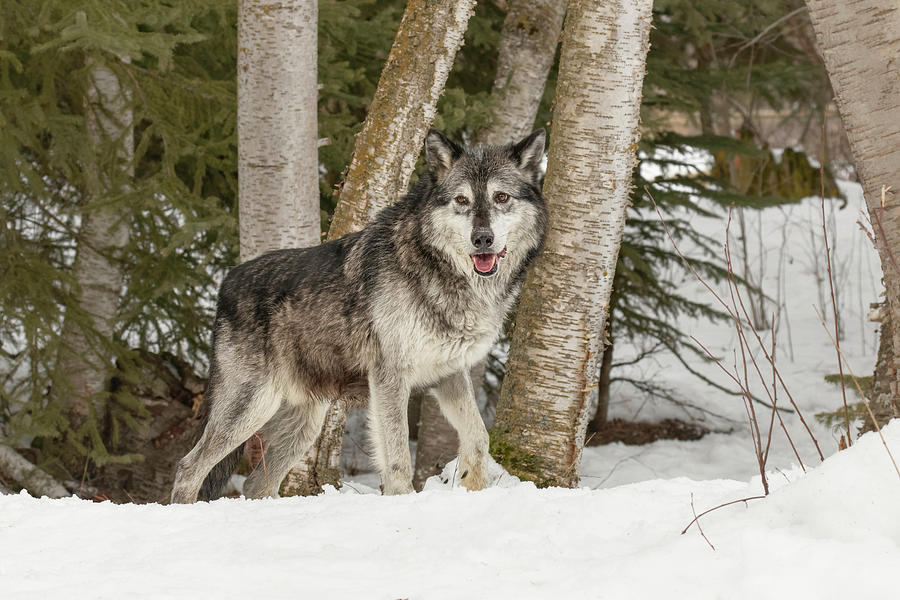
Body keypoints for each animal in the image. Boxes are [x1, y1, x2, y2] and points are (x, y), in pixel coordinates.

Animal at [170, 127, 548, 502]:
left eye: (501, 197)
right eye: (461, 201)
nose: (482, 238)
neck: (437, 268)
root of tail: (226, 281)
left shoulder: (450, 372)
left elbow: (478, 437)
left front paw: (474, 485)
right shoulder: (389, 377)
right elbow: (397, 459)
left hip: (304, 424)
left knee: (254, 484)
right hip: (252, 408)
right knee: (188, 468)